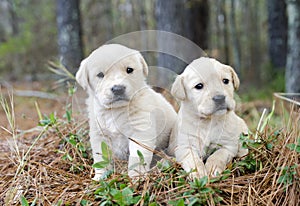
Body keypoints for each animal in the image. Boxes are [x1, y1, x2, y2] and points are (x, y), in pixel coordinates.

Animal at [76, 43, 177, 180]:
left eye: (129, 70)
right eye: (100, 74)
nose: (118, 88)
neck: (116, 110)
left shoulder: (140, 131)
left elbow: (138, 156)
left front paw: (136, 176)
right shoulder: (99, 133)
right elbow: (100, 157)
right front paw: (99, 177)